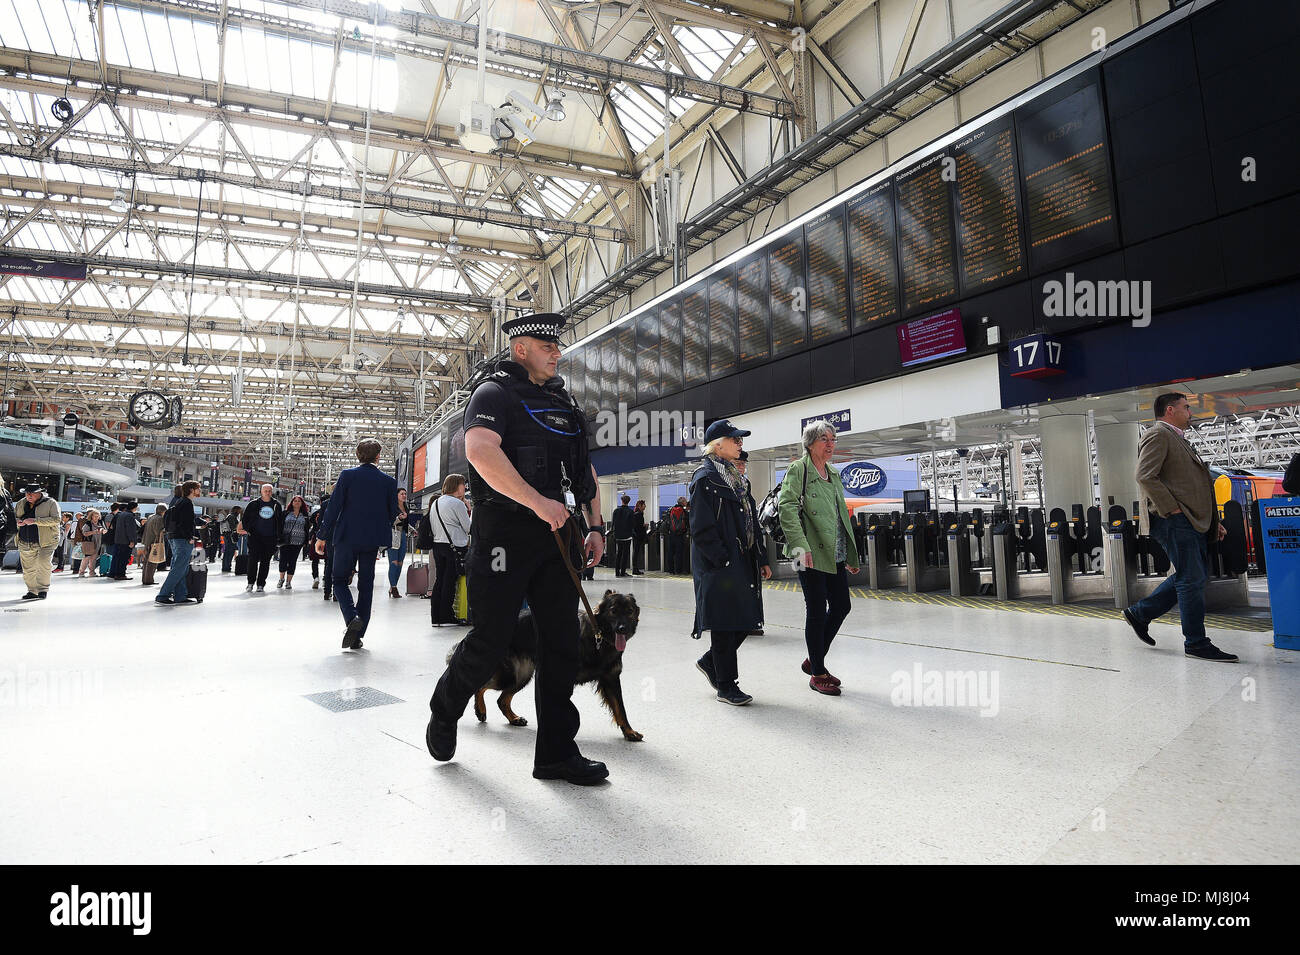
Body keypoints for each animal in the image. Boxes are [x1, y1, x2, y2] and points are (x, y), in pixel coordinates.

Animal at [447, 595, 644, 743]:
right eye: (613, 611)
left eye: (629, 611)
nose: (622, 628)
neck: (599, 637)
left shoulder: (611, 680)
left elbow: (621, 709)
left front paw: (629, 732)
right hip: (509, 675)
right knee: (481, 686)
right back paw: (480, 710)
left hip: (522, 676)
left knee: (502, 699)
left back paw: (514, 719)